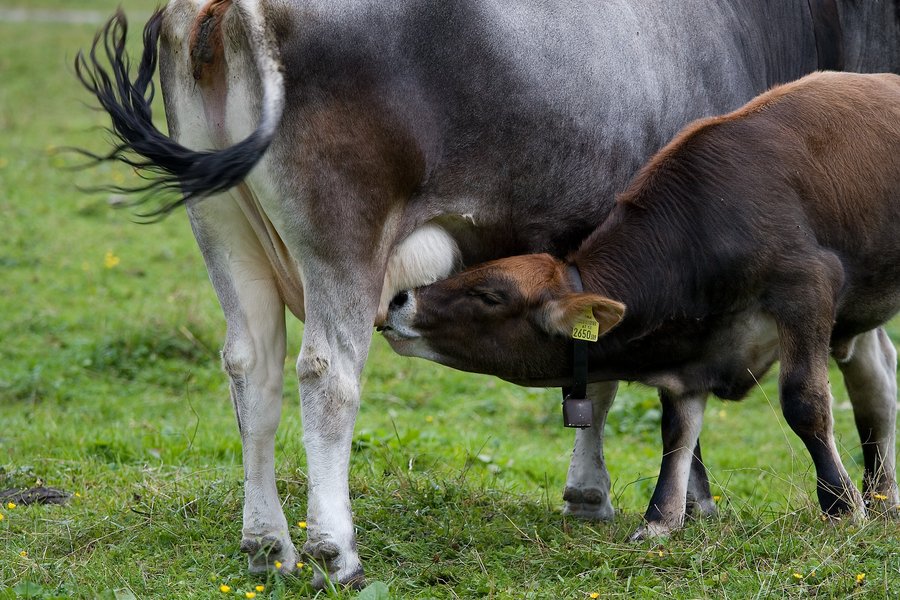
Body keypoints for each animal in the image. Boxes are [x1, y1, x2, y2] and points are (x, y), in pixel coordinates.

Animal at [384, 71, 900, 540]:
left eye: (490, 294)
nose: (399, 299)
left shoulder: (807, 284)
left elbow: (803, 401)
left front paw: (840, 506)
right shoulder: (691, 358)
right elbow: (677, 431)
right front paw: (660, 519)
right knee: (876, 383)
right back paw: (883, 498)